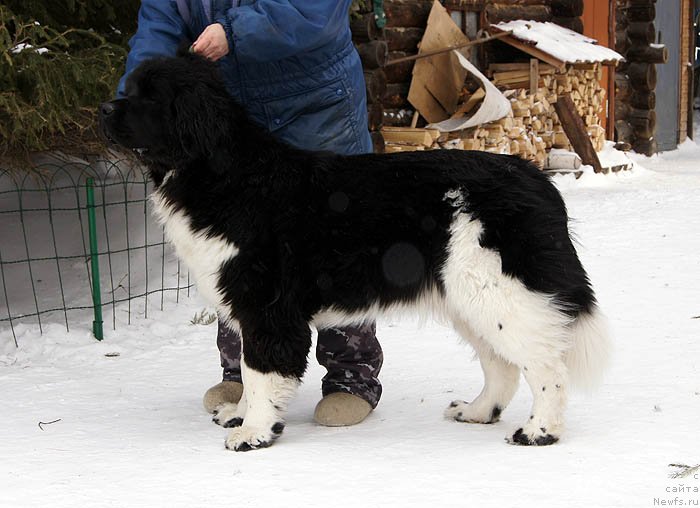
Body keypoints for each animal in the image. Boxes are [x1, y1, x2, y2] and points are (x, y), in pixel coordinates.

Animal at [101, 52, 608, 452]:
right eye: (129, 87)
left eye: (150, 98)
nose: (105, 108)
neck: (223, 173)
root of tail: (539, 181)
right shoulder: (246, 308)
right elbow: (244, 366)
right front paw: (240, 414)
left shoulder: (268, 307)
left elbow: (260, 369)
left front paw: (254, 432)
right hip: (471, 297)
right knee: (501, 363)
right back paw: (478, 411)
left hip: (501, 291)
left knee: (545, 365)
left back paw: (539, 431)